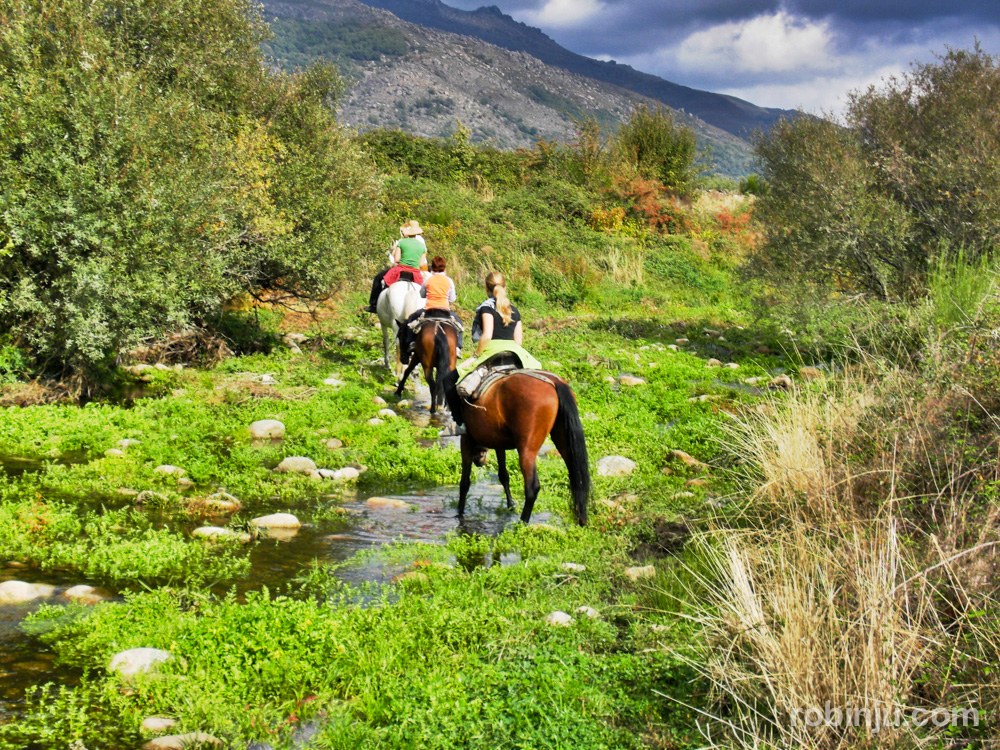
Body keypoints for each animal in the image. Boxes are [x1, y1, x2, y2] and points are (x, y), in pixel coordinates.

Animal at [444, 372, 584, 524]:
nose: (480, 459)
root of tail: (555, 382)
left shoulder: (466, 440)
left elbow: (464, 482)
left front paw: (460, 511)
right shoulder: (498, 443)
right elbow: (503, 475)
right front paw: (510, 504)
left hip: (527, 450)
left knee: (532, 487)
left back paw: (522, 522)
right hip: (564, 440)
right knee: (577, 479)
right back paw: (581, 519)